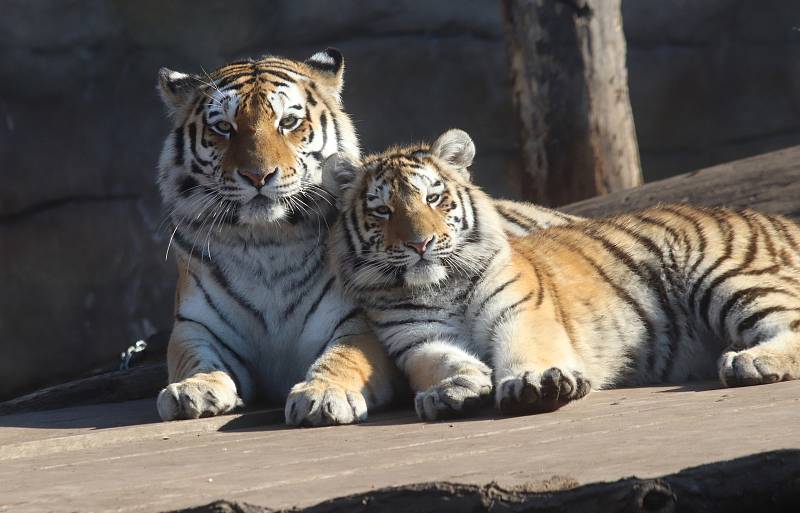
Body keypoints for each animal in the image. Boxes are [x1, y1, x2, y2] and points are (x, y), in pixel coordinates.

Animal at [153, 49, 580, 424]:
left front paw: (323, 394)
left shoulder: (358, 322)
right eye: (223, 127)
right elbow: (192, 358)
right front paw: (192, 389)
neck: (268, 241)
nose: (258, 176)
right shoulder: (195, 325)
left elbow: (344, 357)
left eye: (288, 123)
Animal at [326, 129, 800, 420]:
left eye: (433, 198)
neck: (441, 286)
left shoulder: (521, 310)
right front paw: (453, 390)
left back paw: (749, 361)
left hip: (726, 273)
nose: (420, 244)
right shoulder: (416, 337)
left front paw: (535, 383)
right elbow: (442, 360)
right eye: (383, 210)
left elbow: (527, 347)